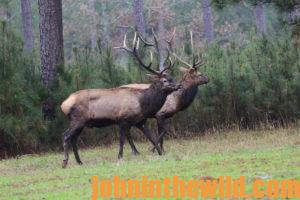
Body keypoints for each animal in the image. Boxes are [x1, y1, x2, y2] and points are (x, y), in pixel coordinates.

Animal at [59, 31, 179, 169]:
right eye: (164, 80)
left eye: (172, 77)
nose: (179, 85)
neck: (143, 104)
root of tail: (64, 104)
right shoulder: (123, 119)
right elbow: (122, 139)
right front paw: (120, 156)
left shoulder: (140, 121)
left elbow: (151, 138)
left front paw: (159, 152)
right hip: (77, 119)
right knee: (66, 136)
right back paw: (65, 162)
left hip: (81, 123)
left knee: (73, 139)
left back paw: (79, 162)